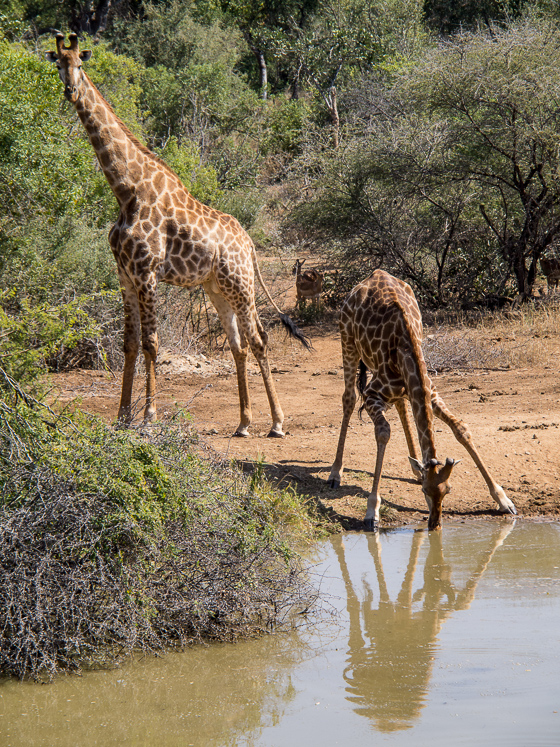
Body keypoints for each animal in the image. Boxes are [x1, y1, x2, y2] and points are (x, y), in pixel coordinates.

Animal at [46, 34, 310, 437]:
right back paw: (243, 423)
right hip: (216, 289)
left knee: (259, 340)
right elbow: (128, 344)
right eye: (58, 64)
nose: (70, 91)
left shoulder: (147, 272)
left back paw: (278, 423)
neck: (126, 191)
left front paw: (149, 417)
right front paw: (122, 417)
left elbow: (152, 343)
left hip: (241, 284)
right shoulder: (124, 274)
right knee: (238, 345)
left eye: (79, 64)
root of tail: (249, 244)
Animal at [327, 270, 517, 531]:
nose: (434, 524)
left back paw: (415, 466)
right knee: (349, 398)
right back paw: (335, 473)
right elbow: (383, 432)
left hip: (393, 381)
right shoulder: (372, 395)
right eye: (426, 492)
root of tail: (373, 274)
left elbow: (460, 428)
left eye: (448, 491)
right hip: (347, 343)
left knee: (400, 405)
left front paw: (503, 499)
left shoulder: (430, 392)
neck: (407, 350)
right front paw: (371, 512)